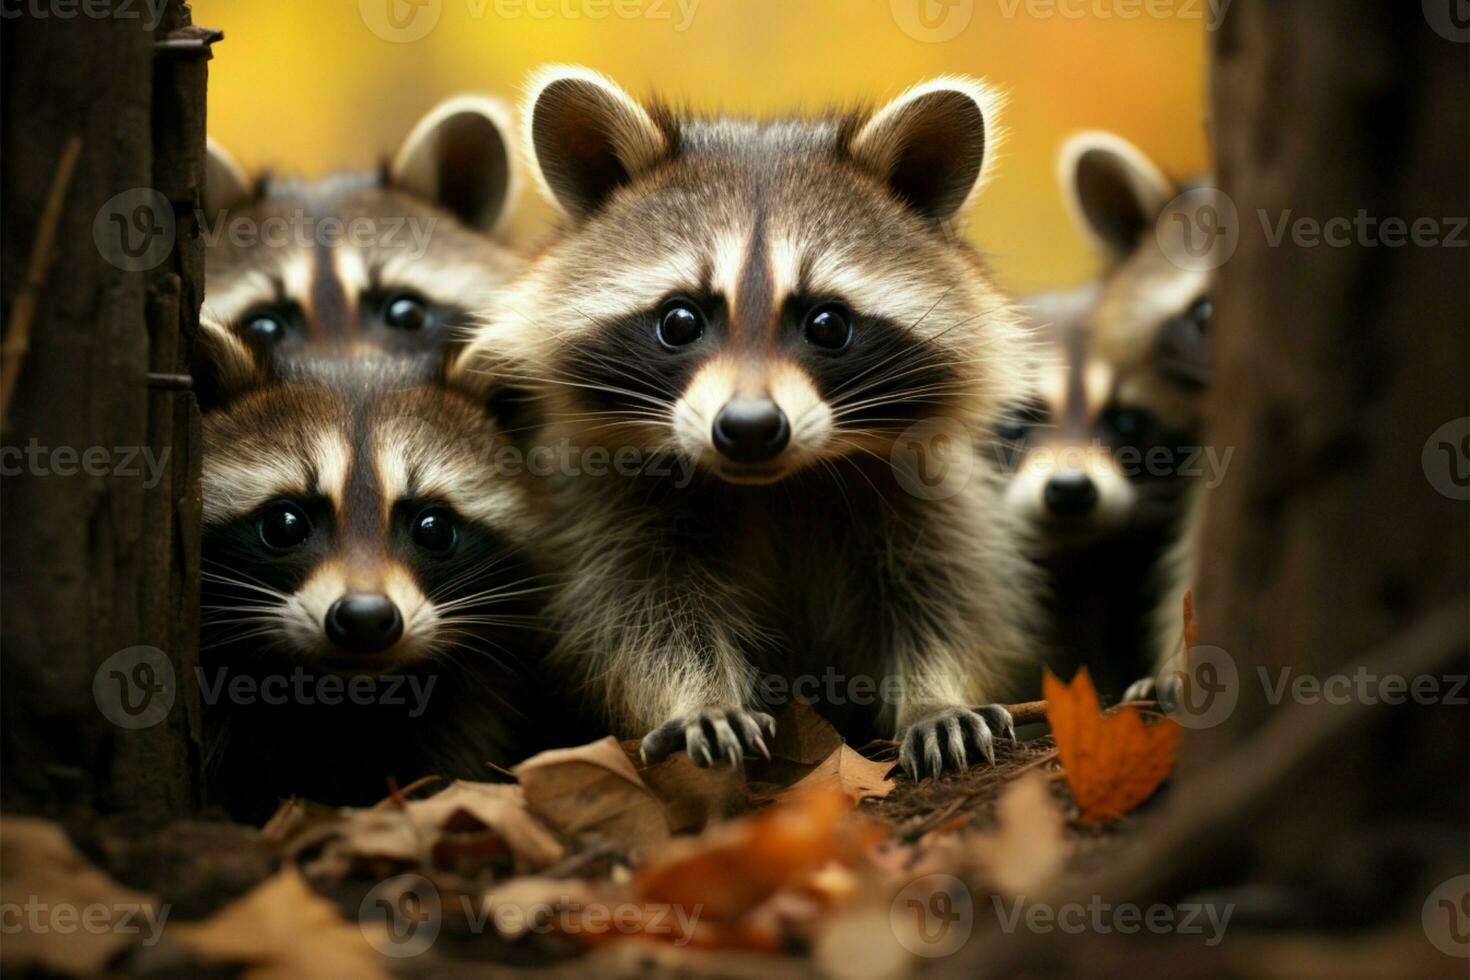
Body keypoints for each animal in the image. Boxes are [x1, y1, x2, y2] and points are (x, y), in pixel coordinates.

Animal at [458, 65, 1046, 775]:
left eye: (828, 324)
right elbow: (638, 615)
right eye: (680, 320)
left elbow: (948, 594)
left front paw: (936, 696)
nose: (748, 427)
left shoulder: (926, 489)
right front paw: (699, 699)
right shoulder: (603, 504)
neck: (774, 486)